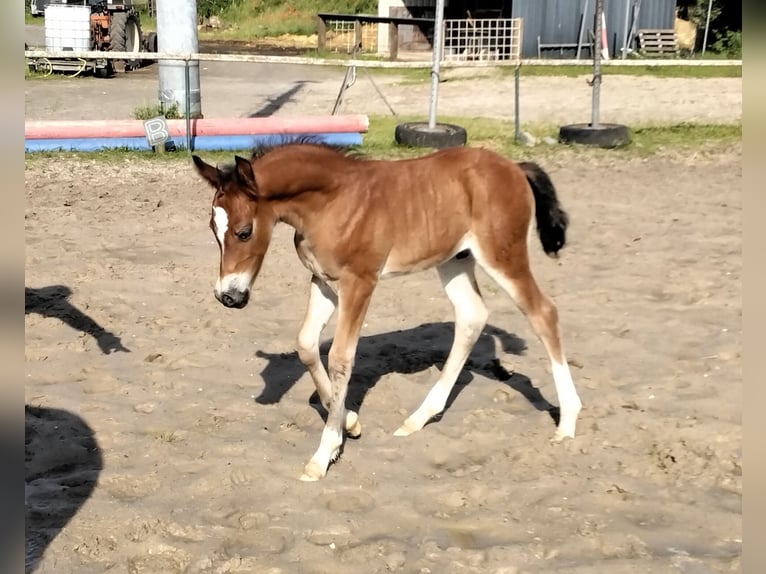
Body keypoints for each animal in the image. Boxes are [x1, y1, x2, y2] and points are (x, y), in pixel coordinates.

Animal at [195, 142, 584, 484]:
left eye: (244, 232)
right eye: (213, 230)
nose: (228, 296)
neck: (332, 202)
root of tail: (514, 167)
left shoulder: (360, 282)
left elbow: (341, 358)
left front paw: (323, 455)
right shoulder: (323, 280)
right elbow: (305, 343)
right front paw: (350, 422)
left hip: (502, 255)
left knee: (543, 313)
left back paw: (567, 423)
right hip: (455, 260)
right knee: (471, 316)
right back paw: (418, 418)